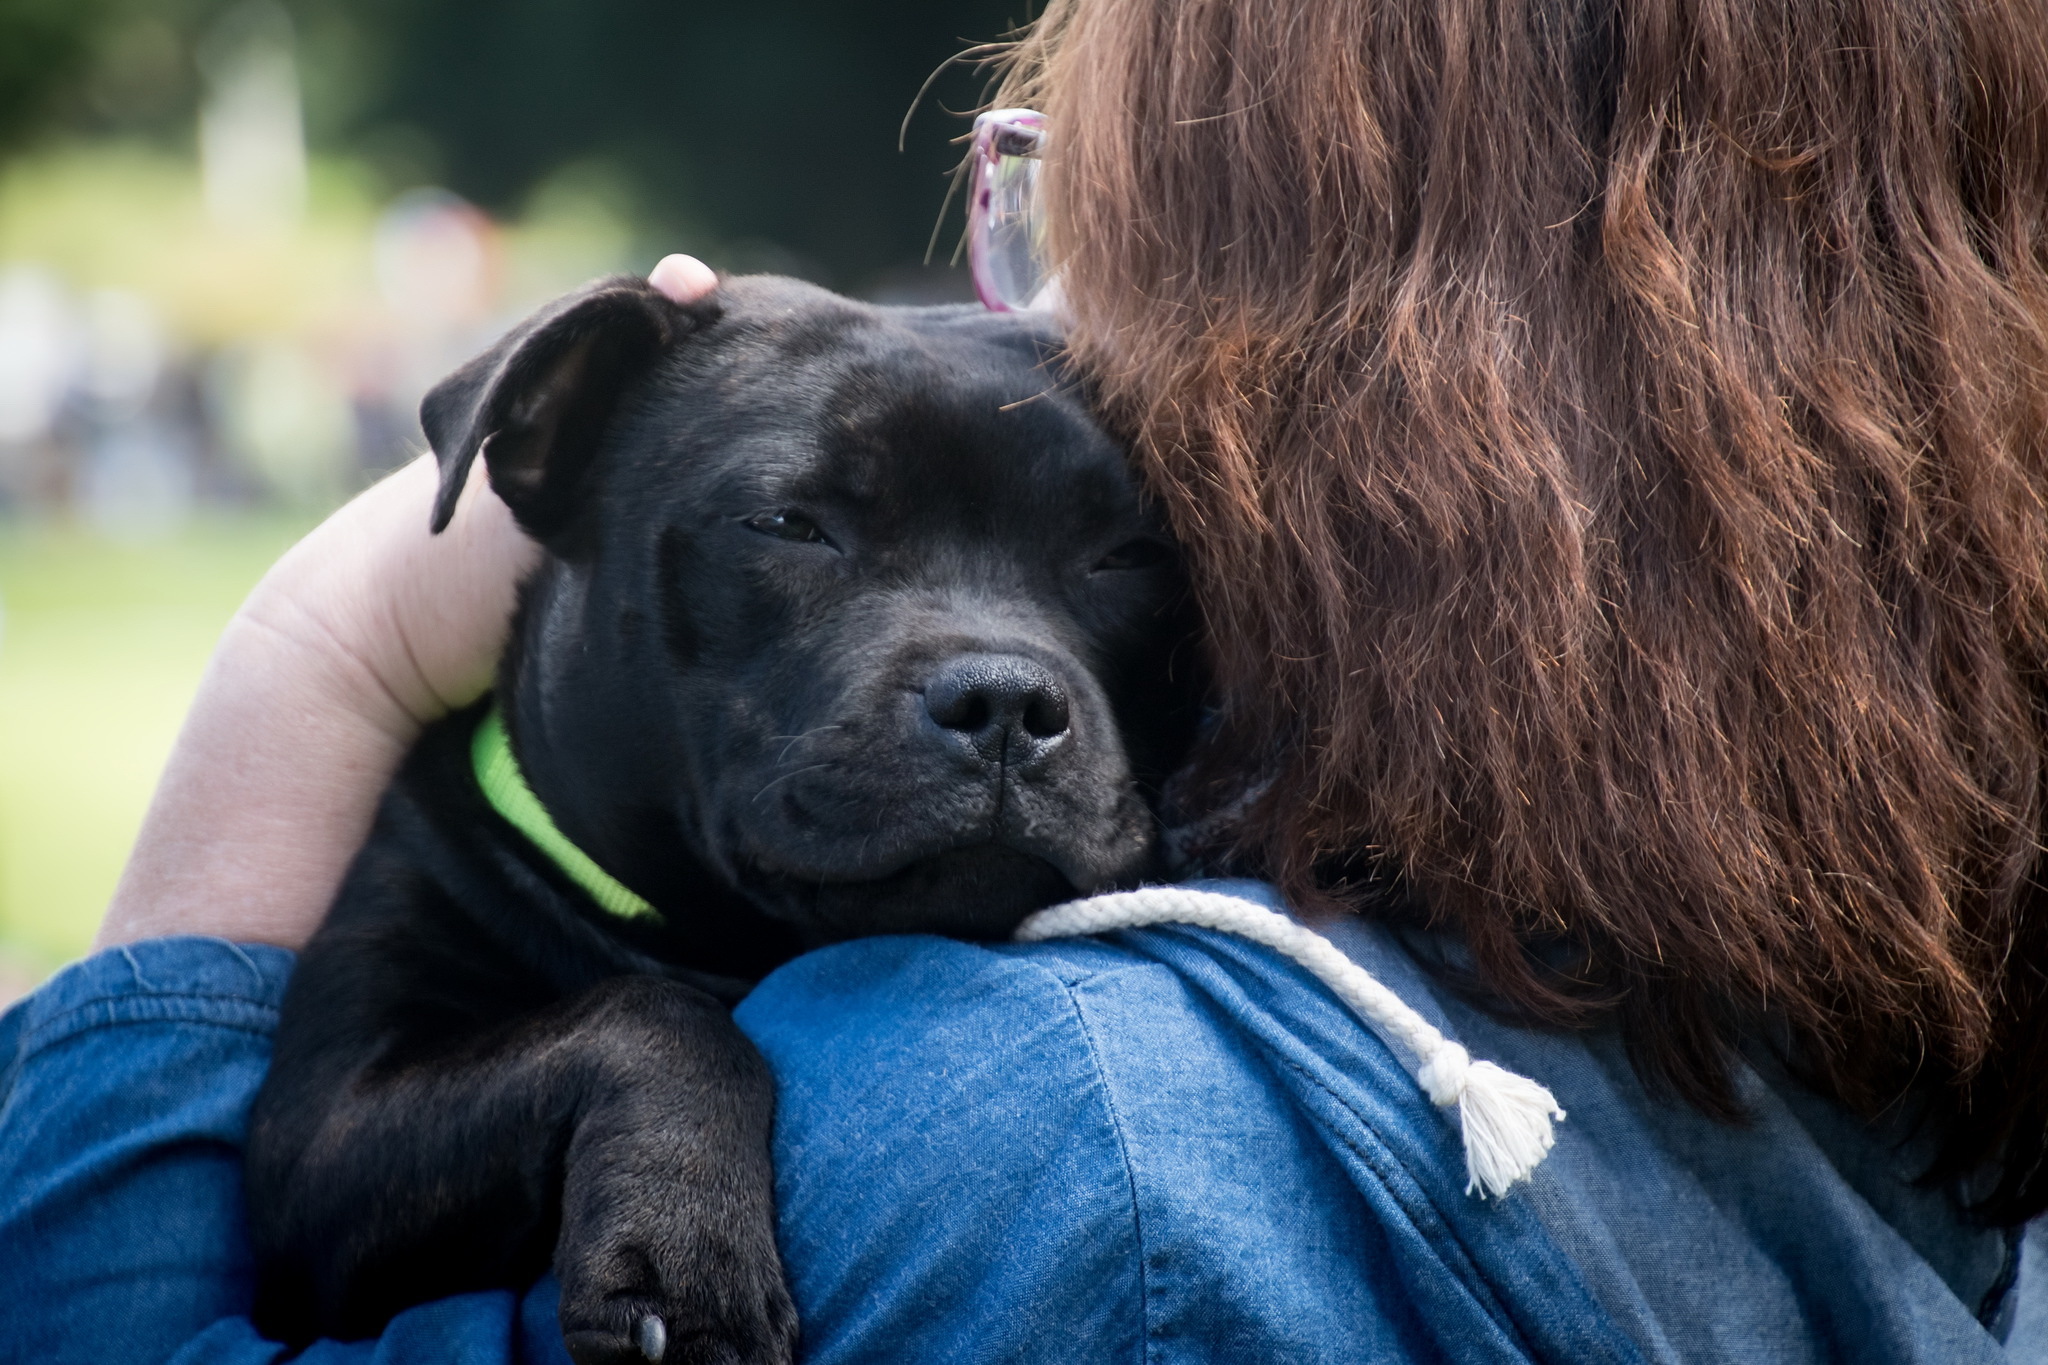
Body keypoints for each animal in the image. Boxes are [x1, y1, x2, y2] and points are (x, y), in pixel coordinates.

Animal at [239, 272, 1196, 1358]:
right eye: (787, 525)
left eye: (1130, 555)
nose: (1005, 702)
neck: (721, 943)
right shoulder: (315, 1140)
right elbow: (651, 1014)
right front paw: (685, 1244)